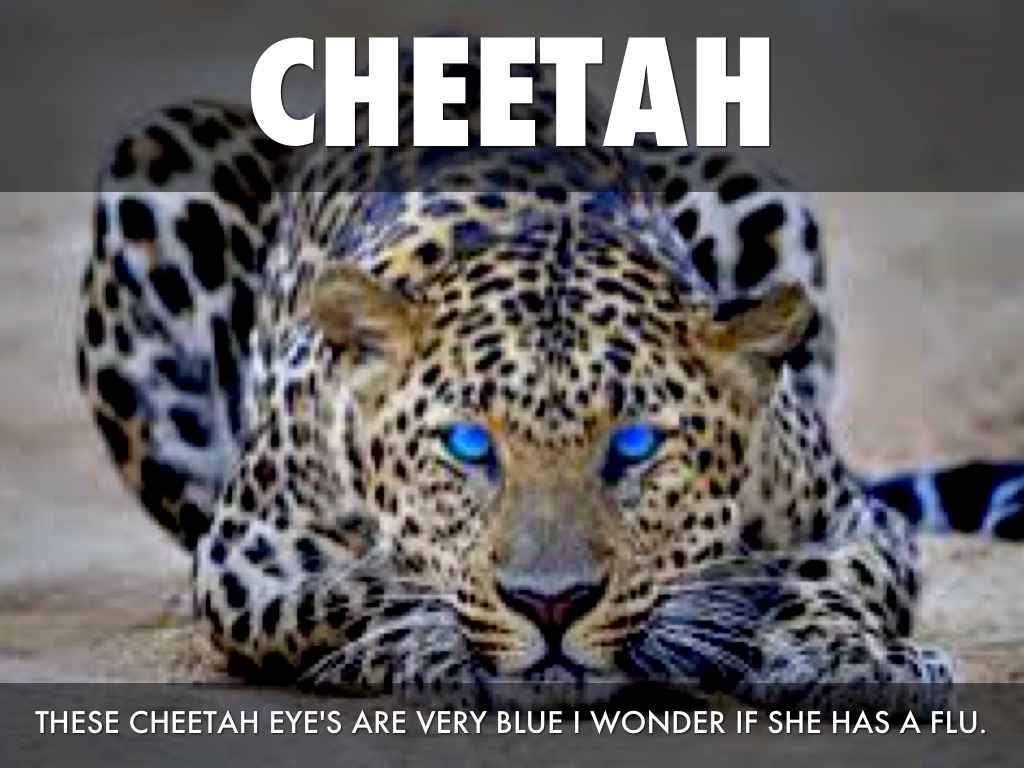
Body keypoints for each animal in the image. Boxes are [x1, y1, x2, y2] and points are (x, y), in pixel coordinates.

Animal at [76, 43, 1024, 711]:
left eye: (635, 447)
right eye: (467, 446)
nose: (553, 605)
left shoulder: (852, 521)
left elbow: (836, 579)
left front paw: (843, 653)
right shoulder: (247, 561)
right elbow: (355, 592)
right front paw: (429, 644)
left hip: (751, 184)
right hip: (159, 159)